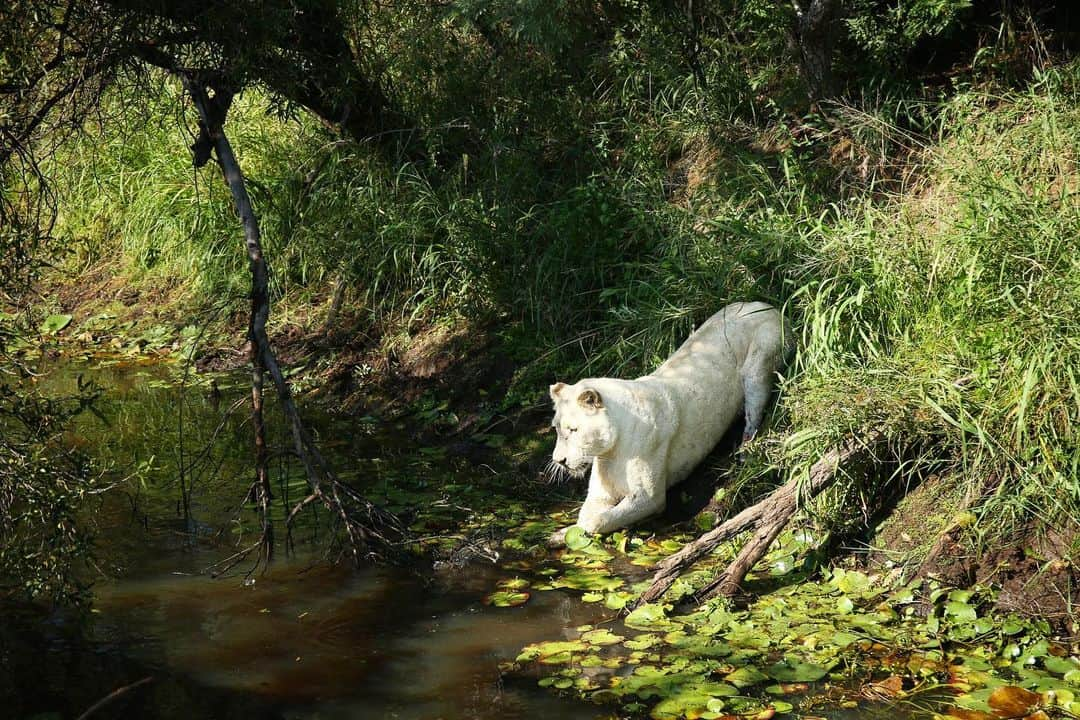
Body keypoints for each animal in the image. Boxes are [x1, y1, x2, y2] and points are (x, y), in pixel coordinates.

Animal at [552, 302, 790, 544]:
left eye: (573, 429)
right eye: (557, 430)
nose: (559, 460)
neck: (612, 451)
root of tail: (765, 305)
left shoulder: (649, 497)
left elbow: (598, 520)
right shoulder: (601, 492)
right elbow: (586, 515)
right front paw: (561, 534)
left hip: (760, 366)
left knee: (754, 415)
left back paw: (744, 452)